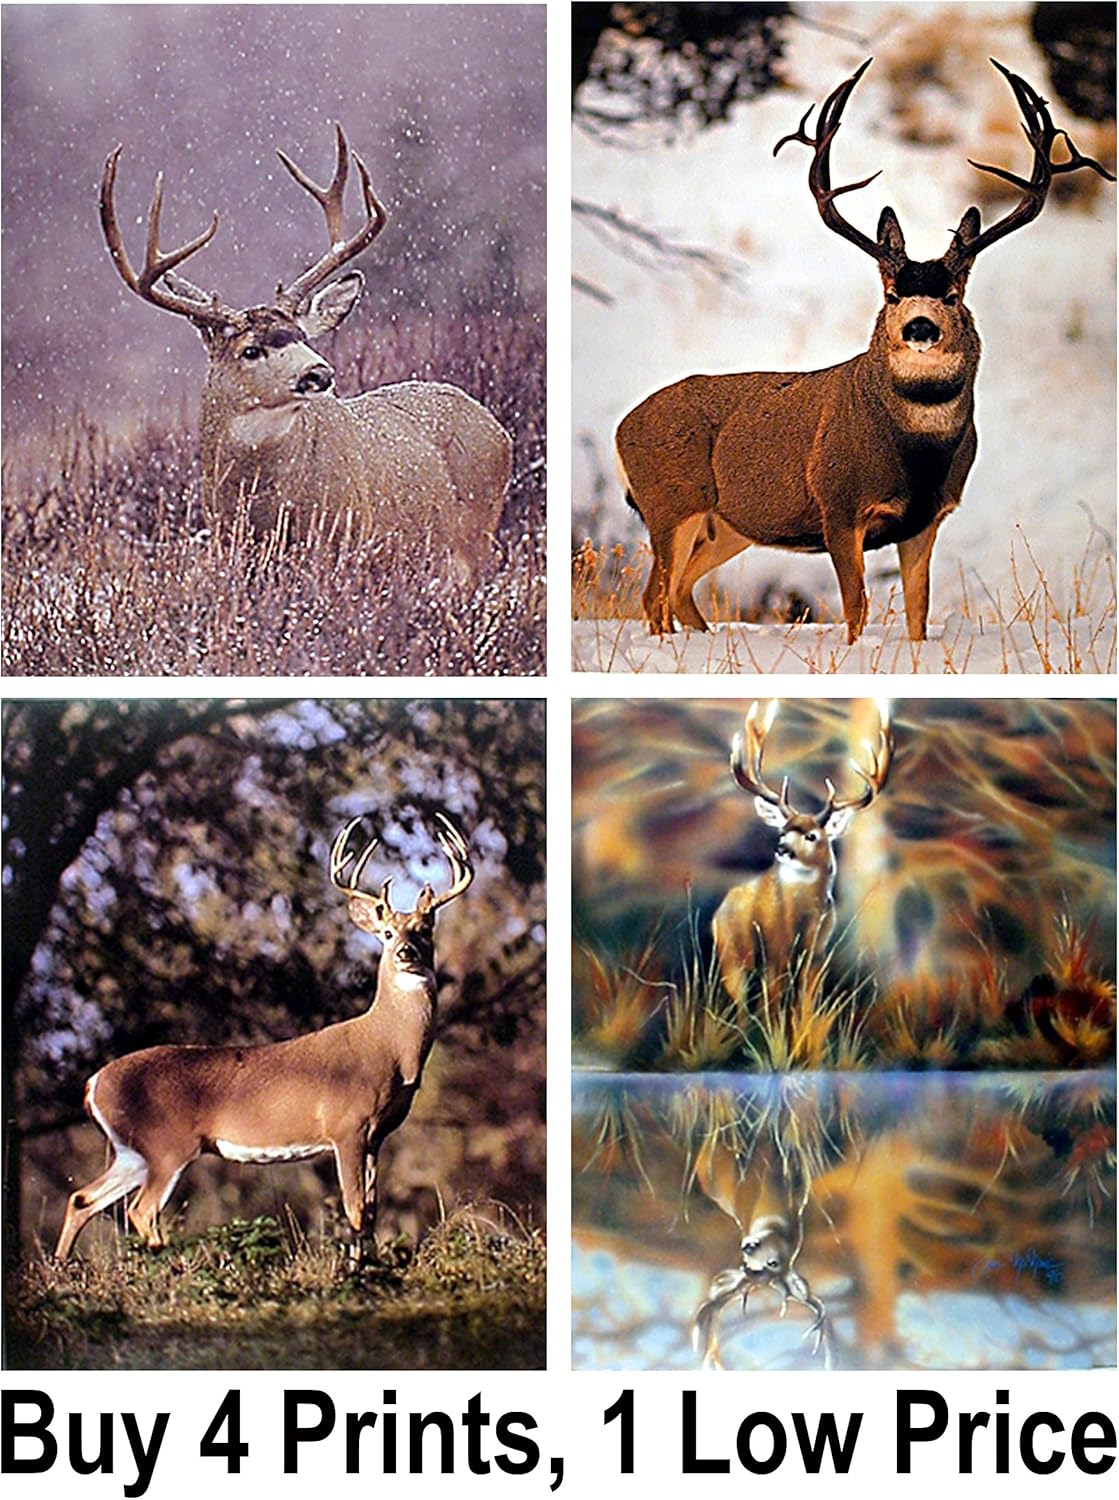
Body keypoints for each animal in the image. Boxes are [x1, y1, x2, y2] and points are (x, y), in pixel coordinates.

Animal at [53, 813, 473, 1265]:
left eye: (425, 929)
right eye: (387, 933)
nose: (406, 953)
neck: (390, 1050)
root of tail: (93, 1084)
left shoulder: (378, 1135)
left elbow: (373, 1210)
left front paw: (372, 1266)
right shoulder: (347, 1126)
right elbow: (355, 1209)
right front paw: (355, 1271)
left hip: (134, 1151)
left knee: (82, 1198)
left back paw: (62, 1267)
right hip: (166, 1143)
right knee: (140, 1211)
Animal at [100, 125, 512, 583]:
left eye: (302, 335)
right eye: (250, 349)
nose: (319, 373)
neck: (264, 509)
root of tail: (499, 428)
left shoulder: (347, 539)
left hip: (474, 542)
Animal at [617, 59, 1114, 641]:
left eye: (952, 294)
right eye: (893, 293)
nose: (920, 327)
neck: (914, 448)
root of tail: (622, 428)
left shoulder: (928, 518)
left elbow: (919, 612)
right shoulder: (839, 506)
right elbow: (857, 609)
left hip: (726, 524)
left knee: (678, 590)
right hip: (671, 503)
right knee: (653, 596)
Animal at [712, 700, 893, 1018]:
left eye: (812, 836)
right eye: (783, 830)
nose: (781, 848)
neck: (801, 919)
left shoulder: (817, 951)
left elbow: (809, 998)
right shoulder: (774, 948)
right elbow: (773, 1001)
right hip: (732, 954)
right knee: (741, 1002)